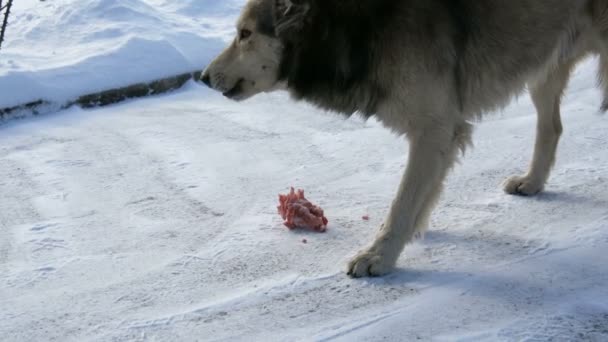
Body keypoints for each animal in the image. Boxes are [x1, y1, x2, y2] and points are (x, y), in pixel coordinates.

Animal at [202, 0, 608, 278]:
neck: (358, 27)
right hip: (543, 68)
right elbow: (421, 198)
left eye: (245, 34)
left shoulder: (434, 128)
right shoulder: (441, 131)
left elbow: (401, 203)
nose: (204, 77)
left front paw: (379, 257)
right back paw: (532, 182)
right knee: (552, 127)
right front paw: (410, 235)